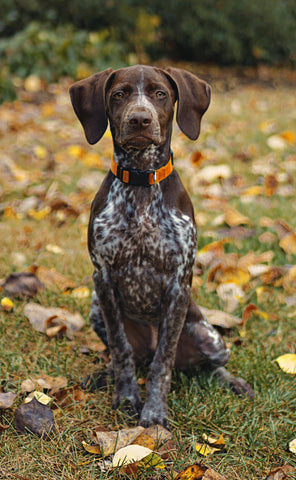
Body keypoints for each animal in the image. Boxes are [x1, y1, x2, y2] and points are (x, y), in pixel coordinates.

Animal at [69, 63, 252, 428]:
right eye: (119, 94)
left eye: (160, 93)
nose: (140, 119)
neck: (141, 183)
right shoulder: (103, 278)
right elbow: (121, 351)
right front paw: (127, 398)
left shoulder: (179, 283)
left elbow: (163, 362)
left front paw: (154, 413)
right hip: (97, 308)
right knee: (131, 355)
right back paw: (104, 375)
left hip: (210, 336)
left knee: (208, 366)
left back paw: (234, 382)